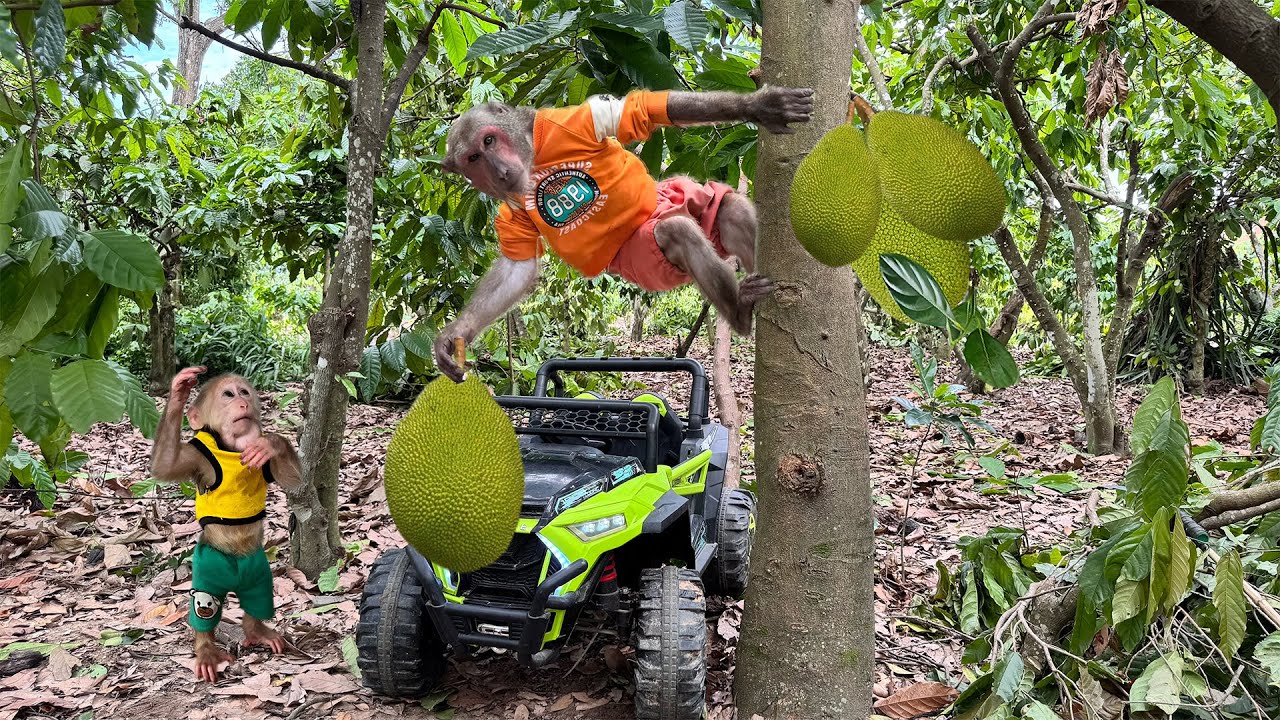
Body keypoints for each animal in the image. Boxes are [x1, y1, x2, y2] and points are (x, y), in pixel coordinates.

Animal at [150, 366, 303, 683]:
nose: (243, 403)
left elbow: (295, 480)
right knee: (205, 607)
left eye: (244, 392)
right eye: (228, 395)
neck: (231, 448)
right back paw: (206, 648)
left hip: (257, 569)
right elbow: (165, 465)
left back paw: (256, 629)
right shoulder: (199, 459)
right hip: (209, 569)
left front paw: (271, 443)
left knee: (258, 596)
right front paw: (178, 391)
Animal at [433, 86, 814, 382]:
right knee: (677, 230)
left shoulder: (578, 120)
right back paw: (741, 314)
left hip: (679, 195)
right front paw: (457, 333)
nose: (499, 171)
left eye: (490, 140)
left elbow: (643, 108)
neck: (532, 164)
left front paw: (760, 107)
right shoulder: (509, 212)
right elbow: (518, 270)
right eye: (473, 157)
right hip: (646, 263)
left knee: (724, 208)